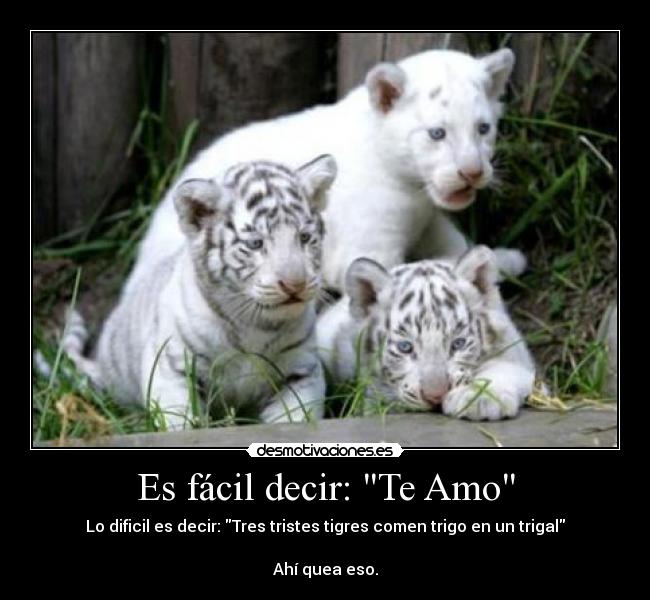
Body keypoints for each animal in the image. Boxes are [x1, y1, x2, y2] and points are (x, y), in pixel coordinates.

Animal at [57, 156, 337, 430]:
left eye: (304, 237)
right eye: (255, 244)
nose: (295, 284)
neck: (254, 324)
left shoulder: (300, 372)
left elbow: (295, 418)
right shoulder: (173, 367)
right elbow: (180, 421)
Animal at [316, 246, 536, 421]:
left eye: (458, 344)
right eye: (405, 347)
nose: (436, 396)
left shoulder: (514, 352)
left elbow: (503, 368)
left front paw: (478, 398)